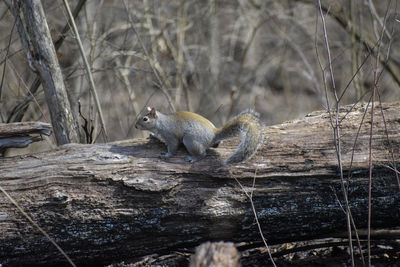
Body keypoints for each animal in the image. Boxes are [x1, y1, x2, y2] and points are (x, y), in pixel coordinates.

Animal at [136, 107, 264, 165]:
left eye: (145, 119)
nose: (135, 126)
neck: (161, 123)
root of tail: (214, 134)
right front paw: (152, 135)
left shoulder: (171, 136)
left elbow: (173, 146)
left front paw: (167, 155)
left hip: (190, 141)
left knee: (203, 154)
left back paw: (193, 158)